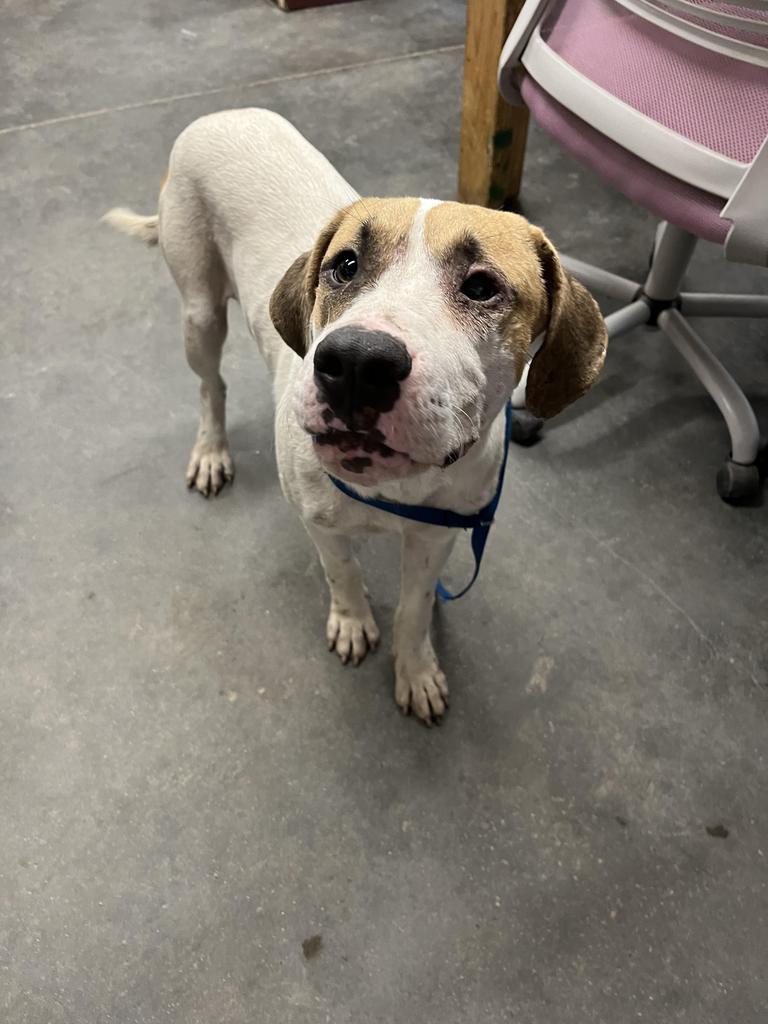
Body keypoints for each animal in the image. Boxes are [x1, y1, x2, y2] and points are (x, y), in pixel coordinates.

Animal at [103, 108, 606, 724]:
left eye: (482, 286)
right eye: (345, 265)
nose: (358, 363)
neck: (397, 492)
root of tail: (222, 114)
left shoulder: (437, 535)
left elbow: (415, 608)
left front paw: (415, 669)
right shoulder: (319, 522)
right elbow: (341, 572)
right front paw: (351, 621)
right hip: (199, 312)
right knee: (210, 386)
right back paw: (212, 451)